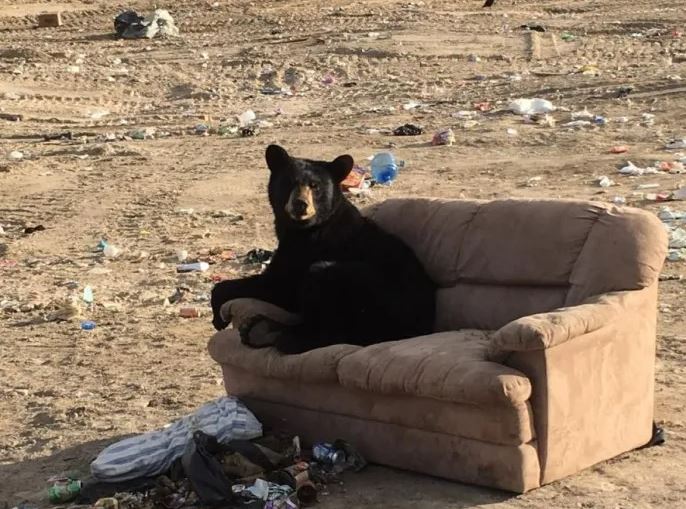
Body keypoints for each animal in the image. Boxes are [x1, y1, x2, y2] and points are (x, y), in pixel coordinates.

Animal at [211, 142, 436, 354]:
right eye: (289, 182)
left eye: (315, 186)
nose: (300, 204)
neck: (305, 228)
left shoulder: (308, 251)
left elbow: (279, 285)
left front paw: (218, 316)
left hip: (370, 293)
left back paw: (279, 336)